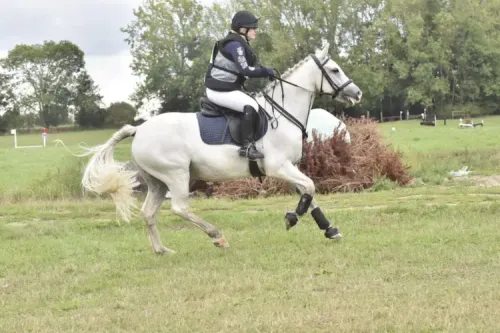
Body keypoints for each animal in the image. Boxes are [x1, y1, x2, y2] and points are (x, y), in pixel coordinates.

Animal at [78, 42, 362, 254]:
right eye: (335, 70)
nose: (357, 93)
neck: (282, 114)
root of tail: (139, 130)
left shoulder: (288, 167)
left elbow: (309, 193)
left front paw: (329, 229)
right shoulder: (278, 166)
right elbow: (310, 188)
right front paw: (292, 217)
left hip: (157, 181)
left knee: (148, 213)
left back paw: (162, 250)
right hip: (176, 175)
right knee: (180, 208)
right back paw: (217, 236)